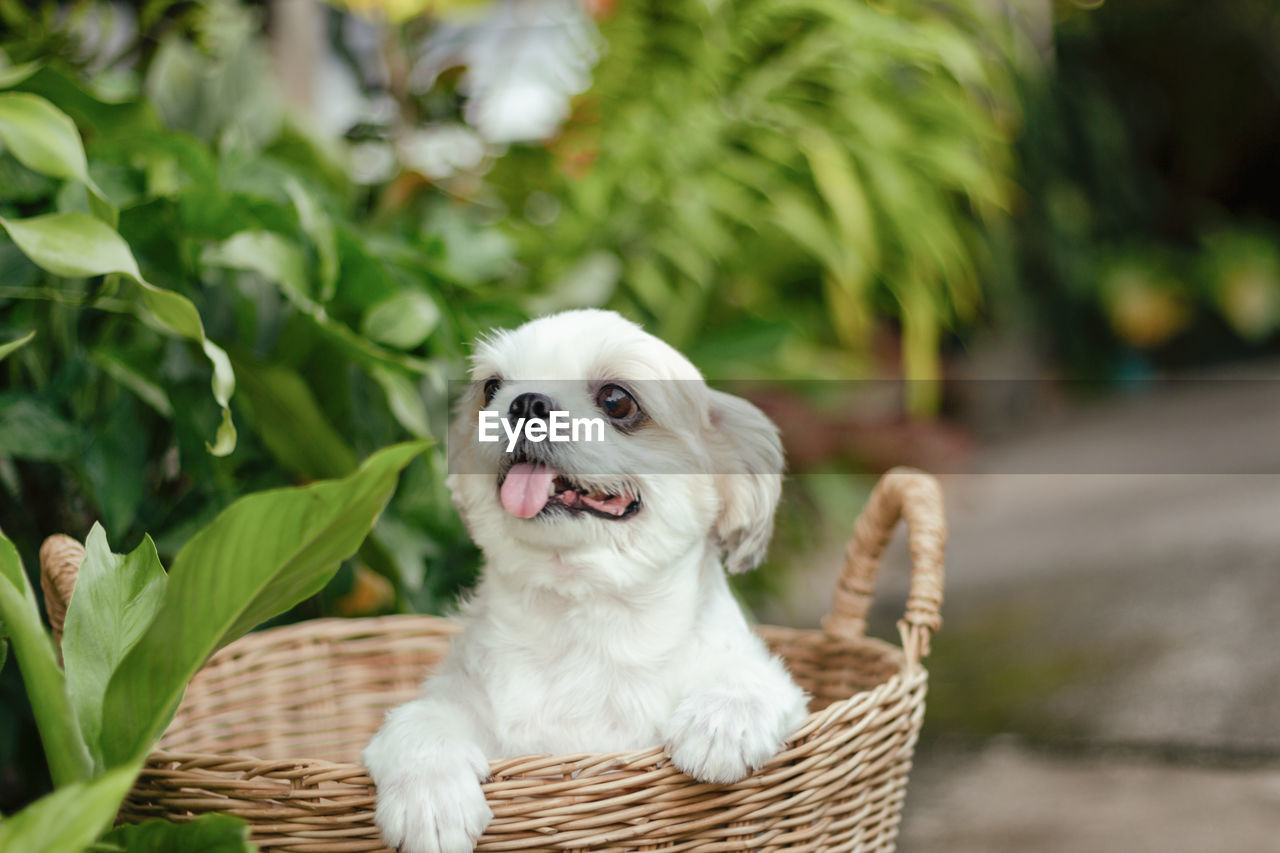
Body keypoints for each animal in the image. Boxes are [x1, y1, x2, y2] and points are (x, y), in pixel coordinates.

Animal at [360, 308, 803, 850]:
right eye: (491, 388)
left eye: (616, 400)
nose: (526, 401)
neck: (585, 620)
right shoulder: (458, 699)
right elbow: (419, 721)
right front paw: (430, 797)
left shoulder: (769, 682)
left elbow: (753, 680)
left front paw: (723, 721)